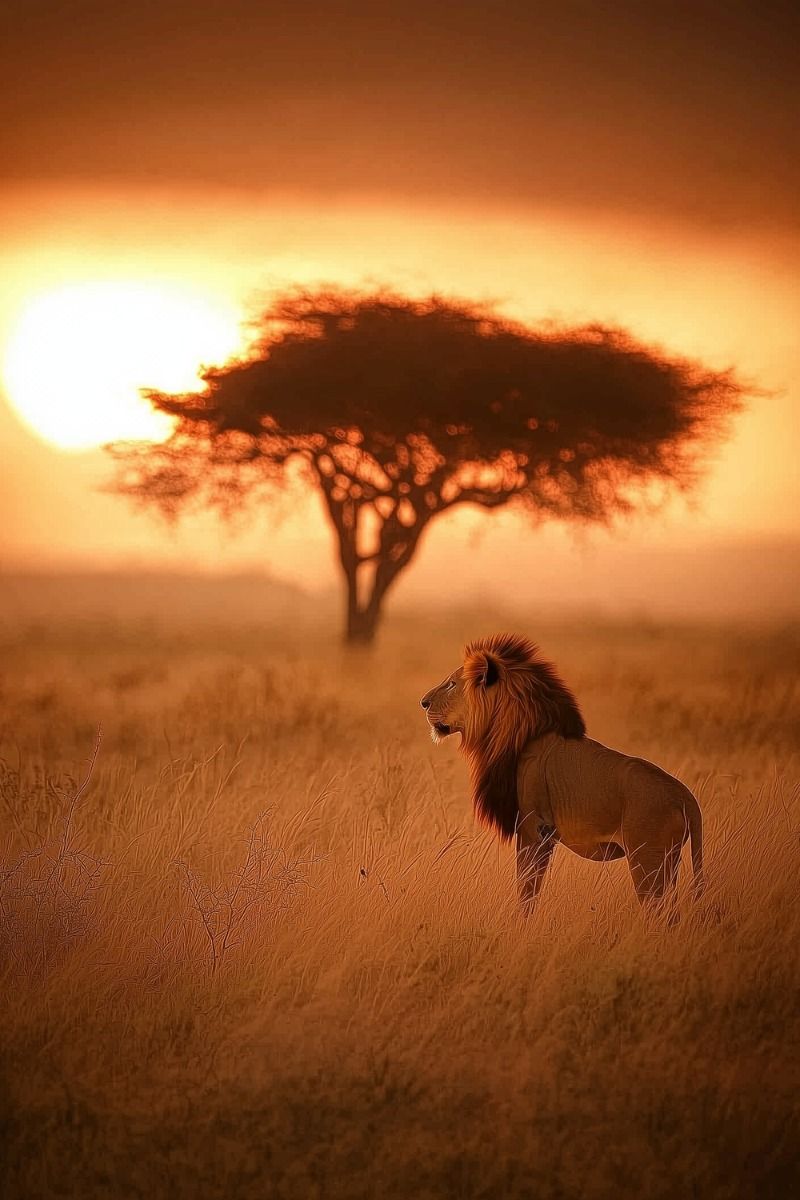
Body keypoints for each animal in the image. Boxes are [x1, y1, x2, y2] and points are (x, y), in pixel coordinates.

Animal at [420, 633, 704, 916]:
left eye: (451, 684)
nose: (423, 703)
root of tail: (684, 795)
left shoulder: (533, 828)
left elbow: (527, 890)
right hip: (667, 863)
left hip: (648, 862)